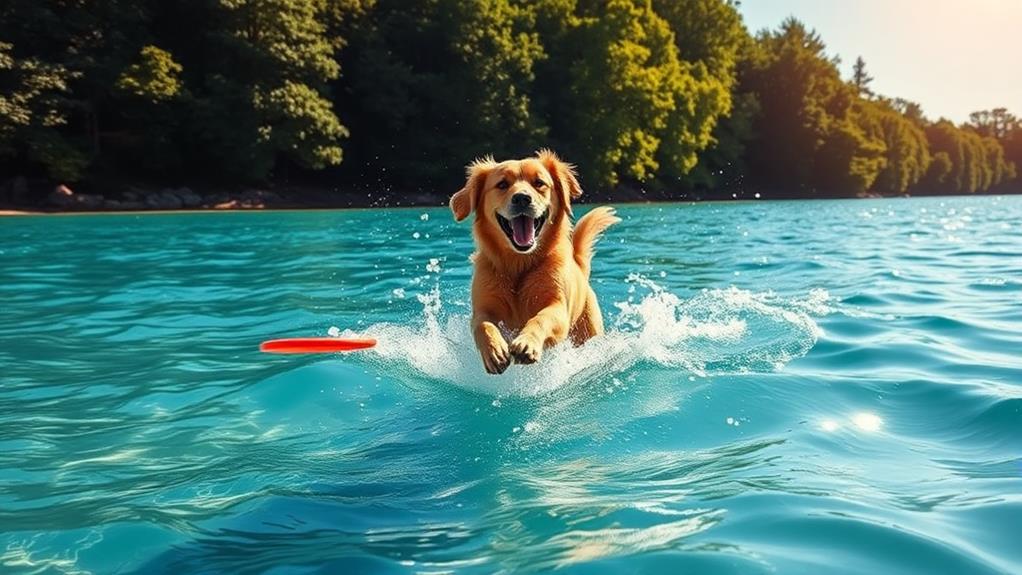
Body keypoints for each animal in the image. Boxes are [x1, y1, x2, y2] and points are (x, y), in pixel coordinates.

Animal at [451, 150, 617, 373]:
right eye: (502, 184)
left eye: (539, 183)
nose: (522, 198)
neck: (519, 266)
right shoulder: (483, 307)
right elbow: (482, 325)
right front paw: (494, 350)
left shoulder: (557, 307)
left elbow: (541, 318)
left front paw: (526, 343)